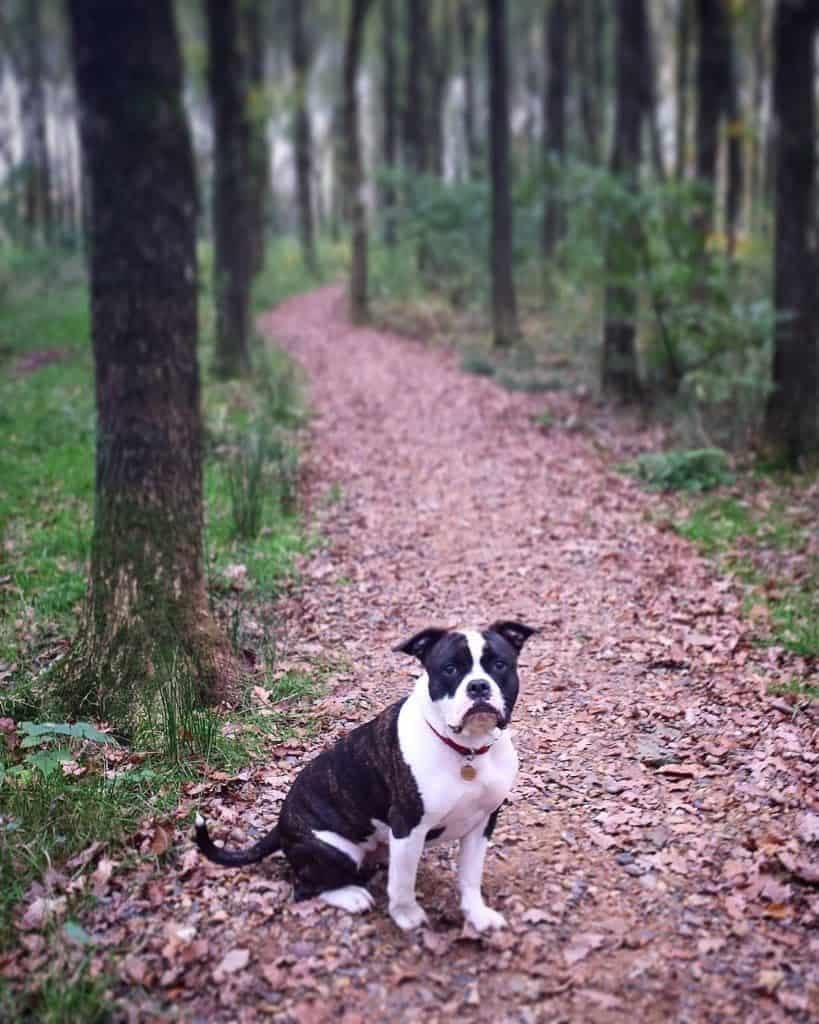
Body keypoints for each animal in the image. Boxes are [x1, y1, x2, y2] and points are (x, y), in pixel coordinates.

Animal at [192, 618, 536, 933]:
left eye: (499, 665)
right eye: (450, 669)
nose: (478, 686)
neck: (467, 750)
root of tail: (281, 826)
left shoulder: (482, 823)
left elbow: (469, 876)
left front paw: (477, 914)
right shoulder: (408, 826)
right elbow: (402, 883)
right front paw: (407, 916)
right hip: (337, 850)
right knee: (305, 888)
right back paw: (351, 896)